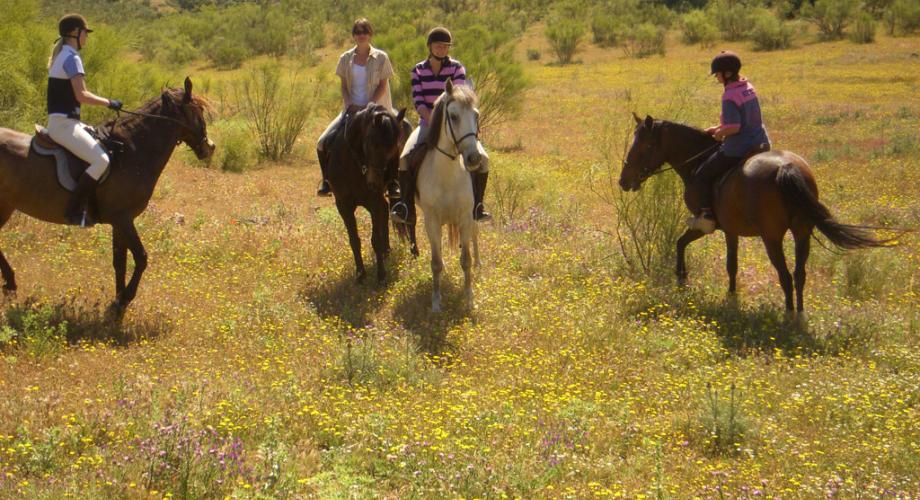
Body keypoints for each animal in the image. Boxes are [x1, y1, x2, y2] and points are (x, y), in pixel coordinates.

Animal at [0, 76, 214, 314]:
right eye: (197, 112)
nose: (209, 147)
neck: (131, 151)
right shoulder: (122, 218)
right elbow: (141, 258)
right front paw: (125, 298)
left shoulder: (119, 221)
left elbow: (120, 261)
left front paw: (117, 303)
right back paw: (10, 283)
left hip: (6, 205)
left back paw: (10, 284)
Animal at [324, 103, 410, 284]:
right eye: (373, 144)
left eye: (394, 148)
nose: (374, 182)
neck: (352, 164)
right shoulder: (343, 205)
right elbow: (354, 240)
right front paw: (360, 274)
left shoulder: (373, 200)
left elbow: (375, 239)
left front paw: (381, 275)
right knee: (385, 210)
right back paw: (385, 252)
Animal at [418, 79, 486, 310]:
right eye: (454, 116)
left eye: (476, 115)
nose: (474, 159)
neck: (447, 175)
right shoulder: (431, 220)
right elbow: (436, 262)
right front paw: (436, 302)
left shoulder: (465, 216)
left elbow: (466, 261)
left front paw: (470, 299)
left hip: (473, 216)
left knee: (475, 235)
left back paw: (479, 261)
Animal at [620, 115, 892, 314]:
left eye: (643, 146)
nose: (623, 180)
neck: (700, 160)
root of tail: (786, 167)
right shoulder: (730, 230)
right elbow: (726, 262)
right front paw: (727, 294)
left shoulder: (709, 225)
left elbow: (686, 245)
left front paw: (682, 279)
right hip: (802, 232)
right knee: (799, 274)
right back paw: (800, 313)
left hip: (771, 237)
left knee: (785, 275)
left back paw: (789, 315)